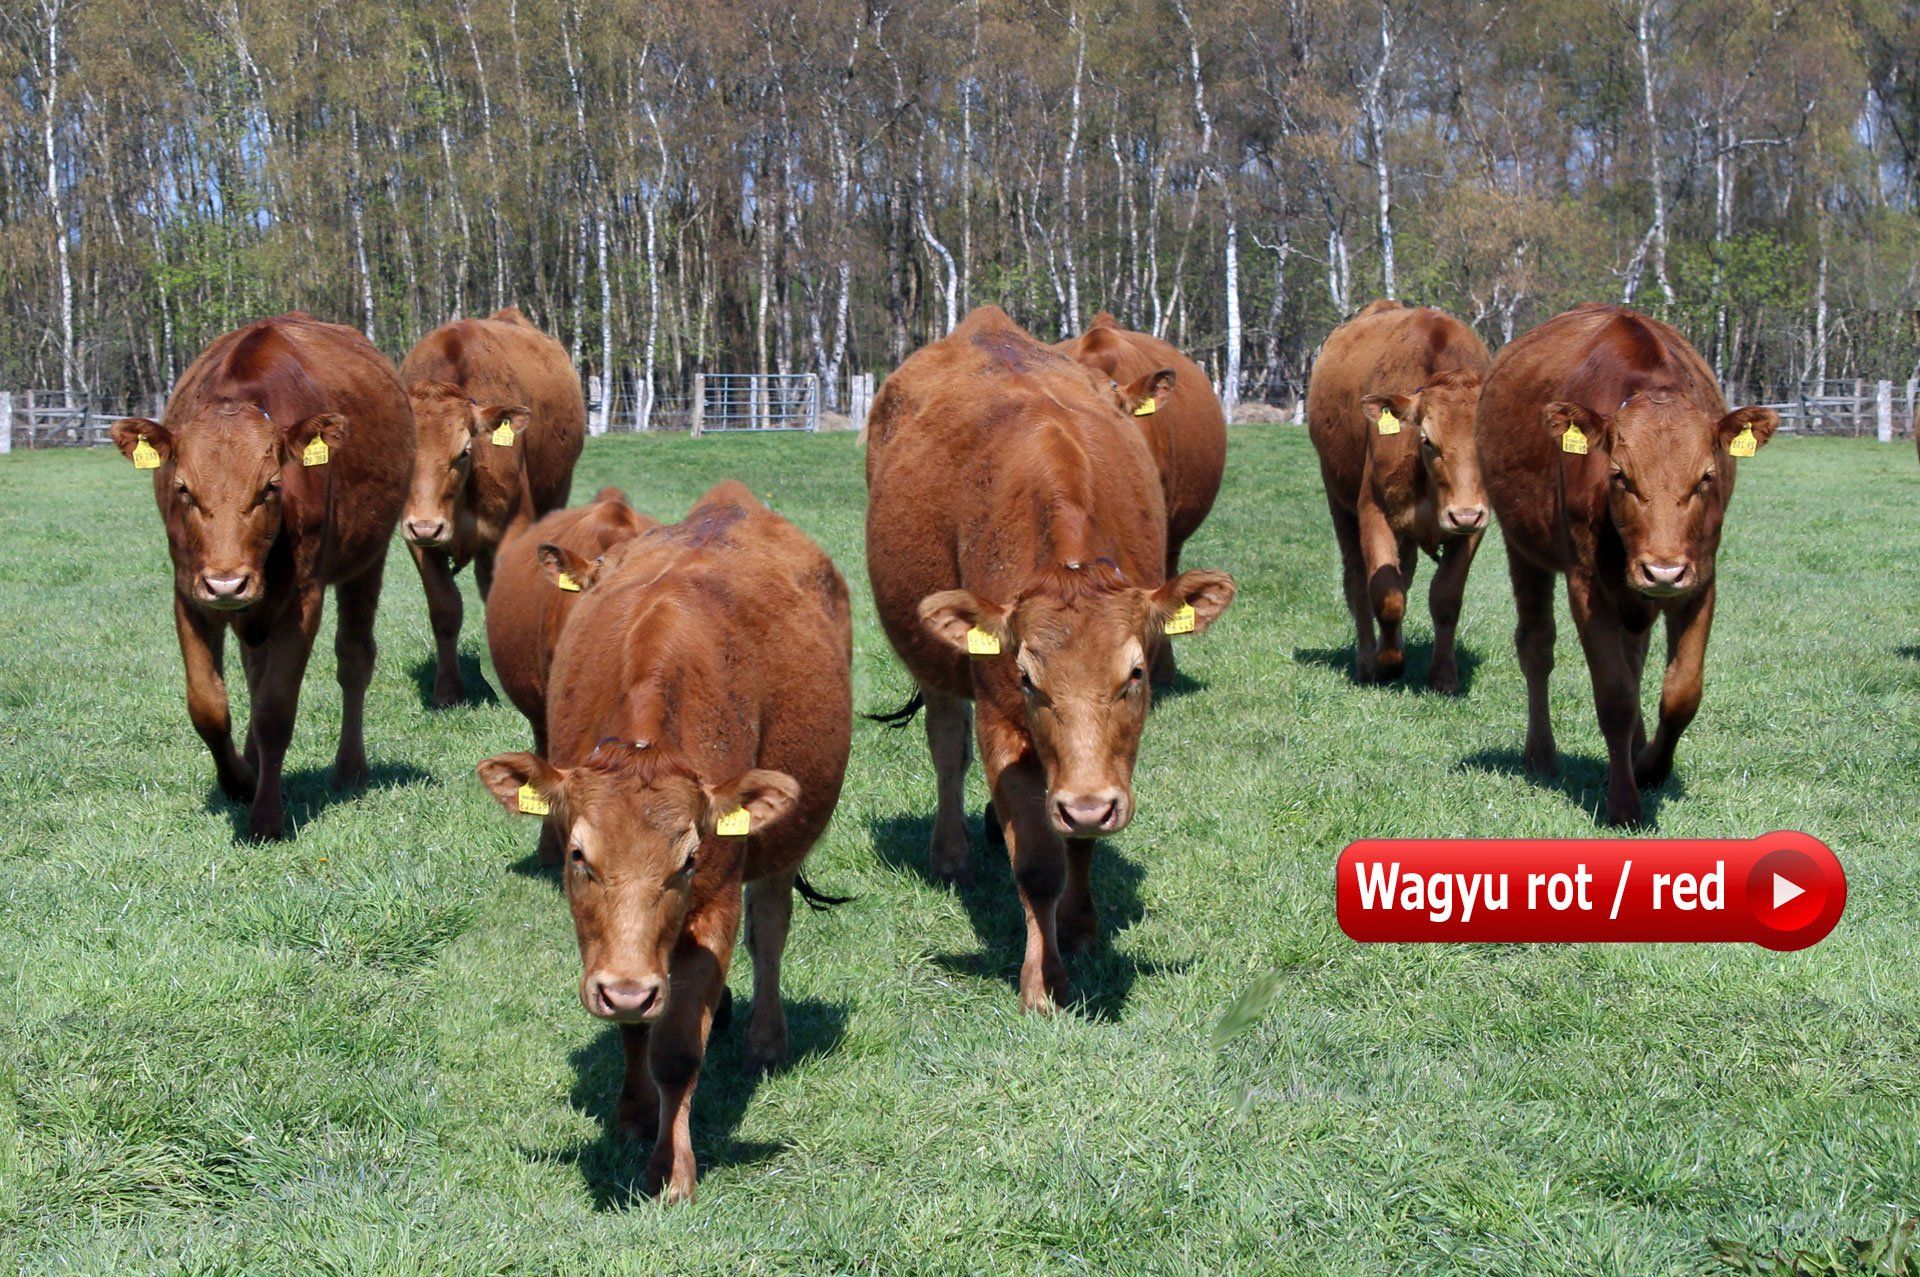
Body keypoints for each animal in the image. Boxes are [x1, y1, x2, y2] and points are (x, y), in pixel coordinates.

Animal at [108, 314, 412, 840]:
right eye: (182, 488)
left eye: (270, 487)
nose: (227, 583)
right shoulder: (189, 593)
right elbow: (209, 707)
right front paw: (239, 781)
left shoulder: (303, 599)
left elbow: (275, 710)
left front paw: (266, 816)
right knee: (254, 670)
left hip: (367, 561)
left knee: (354, 658)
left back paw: (350, 768)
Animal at [400, 306, 586, 707]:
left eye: (464, 451)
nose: (427, 526)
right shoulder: (416, 541)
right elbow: (445, 608)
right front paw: (448, 690)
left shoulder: (512, 528)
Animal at [1306, 300, 1494, 692]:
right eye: (1427, 439)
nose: (1463, 514)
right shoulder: (1373, 513)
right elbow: (1386, 595)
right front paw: (1389, 663)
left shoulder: (1475, 529)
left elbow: (1445, 597)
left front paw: (1443, 676)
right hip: (1340, 505)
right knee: (1357, 582)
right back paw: (1367, 661)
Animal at [1477, 303, 1777, 825]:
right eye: (1619, 475)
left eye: (1706, 477)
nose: (1663, 571)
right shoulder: (1587, 586)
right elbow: (1614, 696)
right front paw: (1624, 802)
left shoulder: (1701, 580)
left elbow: (1680, 693)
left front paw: (1650, 767)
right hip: (1524, 549)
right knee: (1536, 645)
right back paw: (1541, 755)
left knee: (1635, 657)